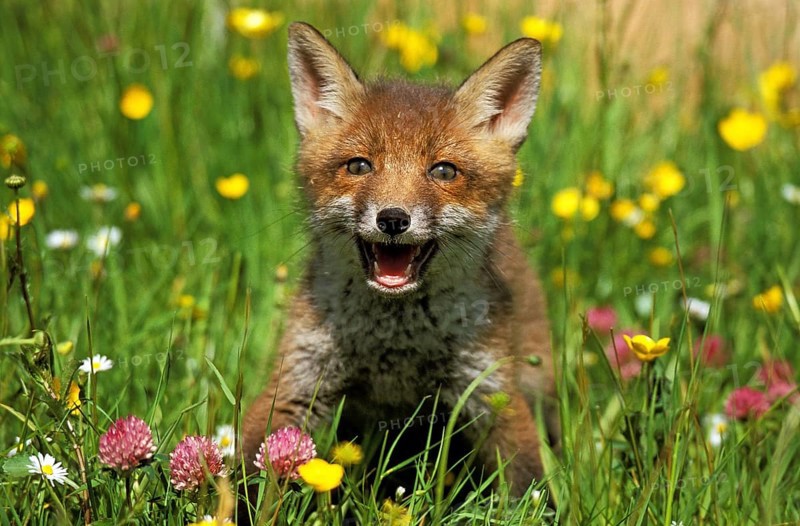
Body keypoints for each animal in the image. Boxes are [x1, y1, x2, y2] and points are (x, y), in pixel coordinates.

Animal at [241, 20, 558, 510]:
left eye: (443, 171)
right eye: (359, 166)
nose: (392, 219)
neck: (394, 344)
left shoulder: (492, 395)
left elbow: (527, 487)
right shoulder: (297, 384)